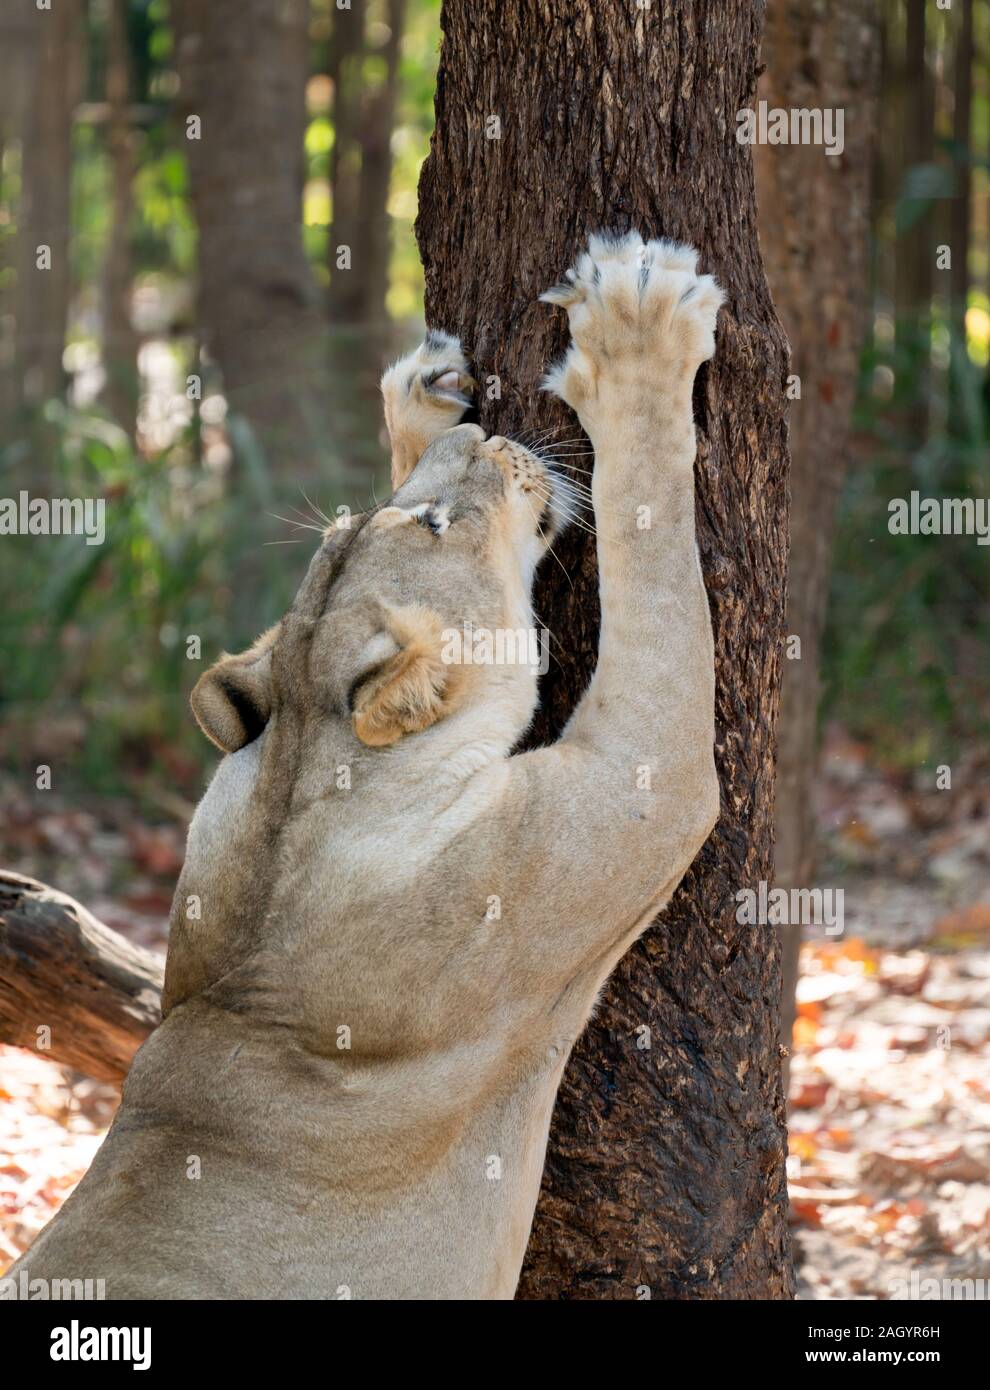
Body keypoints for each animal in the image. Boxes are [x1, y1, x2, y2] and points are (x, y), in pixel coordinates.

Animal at [9, 233, 722, 1300]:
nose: (483, 433)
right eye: (433, 525)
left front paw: (422, 397)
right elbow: (652, 537)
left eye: (377, 519)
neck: (297, 796)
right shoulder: (639, 789)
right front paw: (637, 326)